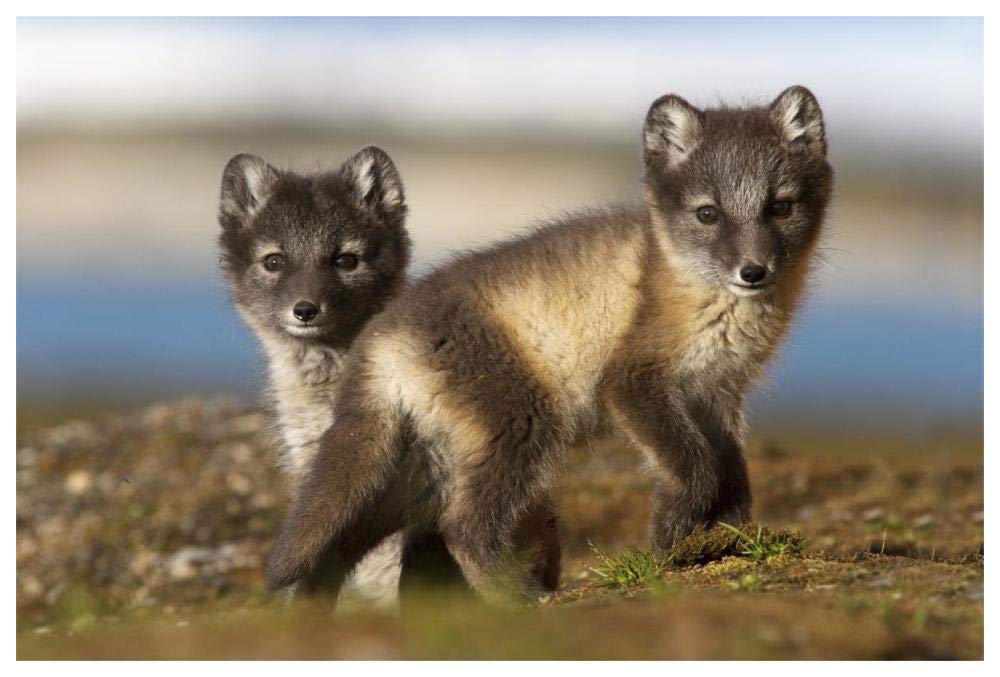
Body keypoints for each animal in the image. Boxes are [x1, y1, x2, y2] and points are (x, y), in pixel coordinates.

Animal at [265, 86, 834, 604]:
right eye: (708, 214)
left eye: (780, 207)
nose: (753, 272)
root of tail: (380, 335)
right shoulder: (634, 381)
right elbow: (697, 468)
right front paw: (670, 544)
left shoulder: (719, 391)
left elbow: (732, 475)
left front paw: (728, 541)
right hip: (520, 422)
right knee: (463, 527)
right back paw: (519, 596)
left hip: (423, 469)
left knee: (349, 542)